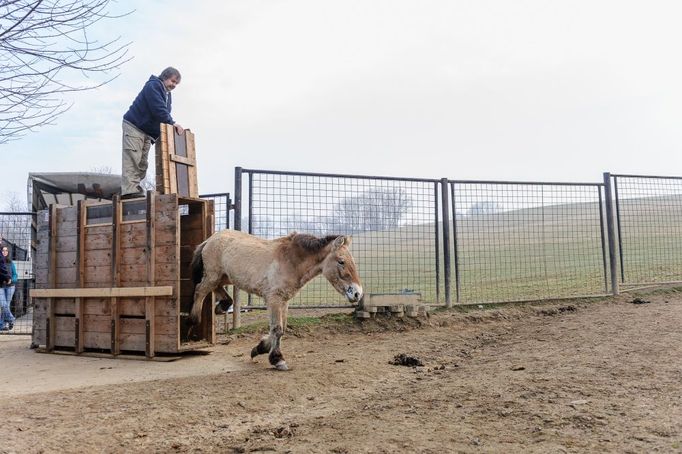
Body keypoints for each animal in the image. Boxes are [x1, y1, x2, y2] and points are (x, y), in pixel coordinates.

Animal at [189, 229, 362, 370]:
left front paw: (260, 348)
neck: (290, 261)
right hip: (213, 276)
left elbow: (280, 328)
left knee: (217, 290)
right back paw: (192, 322)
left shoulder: (284, 301)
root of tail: (210, 239)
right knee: (199, 291)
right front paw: (278, 359)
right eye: (341, 261)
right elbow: (277, 329)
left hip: (224, 277)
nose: (357, 294)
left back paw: (221, 307)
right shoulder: (274, 300)